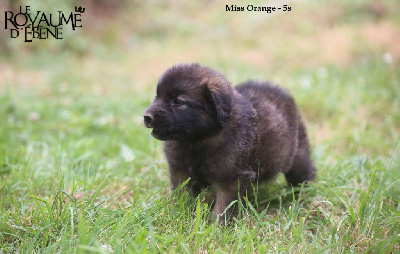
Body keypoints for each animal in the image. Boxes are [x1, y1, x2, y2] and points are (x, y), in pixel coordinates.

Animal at [144, 64, 316, 224]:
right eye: (157, 97)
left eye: (178, 101)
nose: (147, 117)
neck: (197, 142)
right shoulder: (181, 172)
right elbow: (183, 195)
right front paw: (179, 215)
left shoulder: (232, 179)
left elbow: (224, 208)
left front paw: (217, 228)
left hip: (298, 156)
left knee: (304, 174)